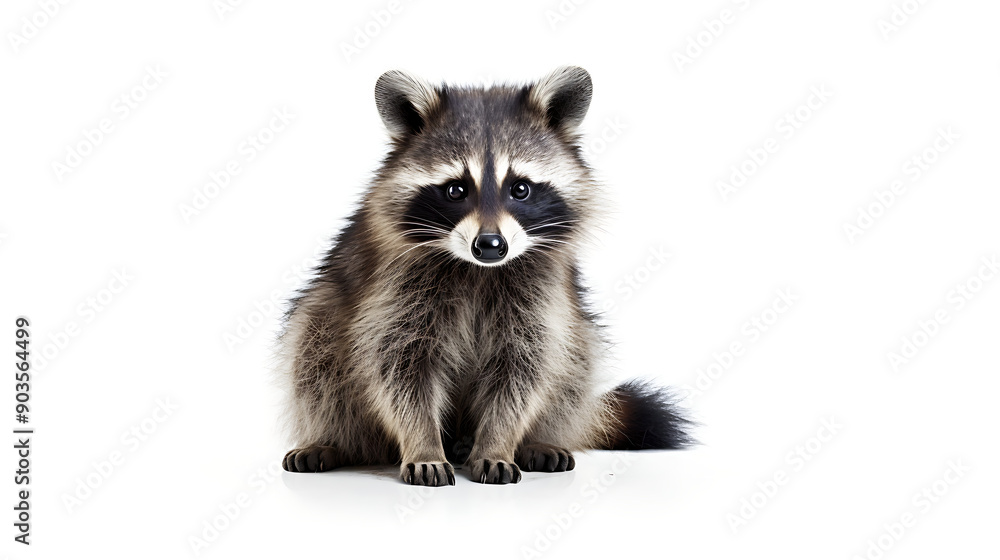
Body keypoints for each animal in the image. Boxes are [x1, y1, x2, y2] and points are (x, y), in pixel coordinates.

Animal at [278, 66, 693, 485]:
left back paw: (530, 440)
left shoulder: (540, 292)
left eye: (520, 188)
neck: (479, 270)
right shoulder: (396, 285)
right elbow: (399, 367)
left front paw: (498, 442)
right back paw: (334, 441)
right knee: (313, 351)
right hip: (324, 314)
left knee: (576, 356)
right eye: (455, 190)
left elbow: (525, 368)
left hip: (575, 327)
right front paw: (423, 444)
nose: (491, 245)